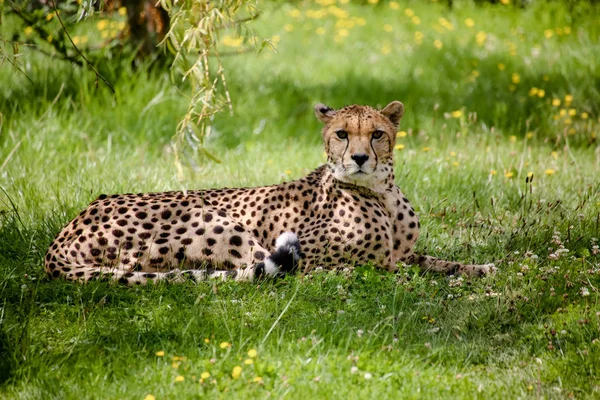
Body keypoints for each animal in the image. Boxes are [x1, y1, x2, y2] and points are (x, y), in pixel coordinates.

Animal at [44, 102, 494, 284]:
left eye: (377, 134)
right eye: (342, 134)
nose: (360, 158)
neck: (379, 192)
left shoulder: (402, 251)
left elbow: (435, 261)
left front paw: (479, 267)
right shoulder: (312, 251)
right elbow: (389, 268)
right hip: (217, 221)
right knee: (276, 272)